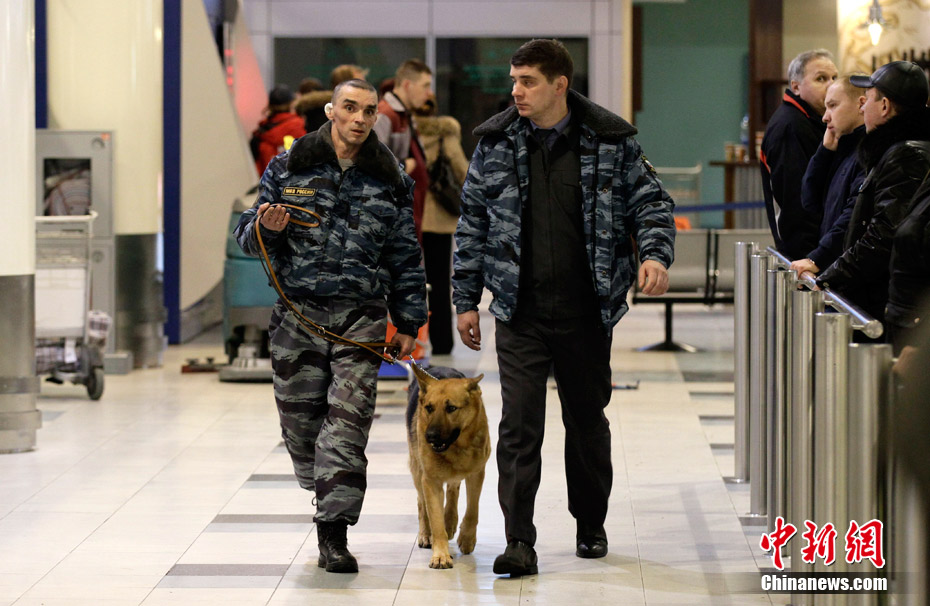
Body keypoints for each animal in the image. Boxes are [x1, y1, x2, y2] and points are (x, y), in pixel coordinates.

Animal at [408, 366, 492, 568]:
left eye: (451, 408)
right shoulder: (431, 481)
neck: (457, 446)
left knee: (453, 489)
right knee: (421, 503)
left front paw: (467, 538)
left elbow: (472, 510)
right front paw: (440, 555)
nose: (430, 436)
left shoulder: (476, 474)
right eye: (429, 408)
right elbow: (436, 521)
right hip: (417, 471)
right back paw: (425, 534)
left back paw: (451, 521)